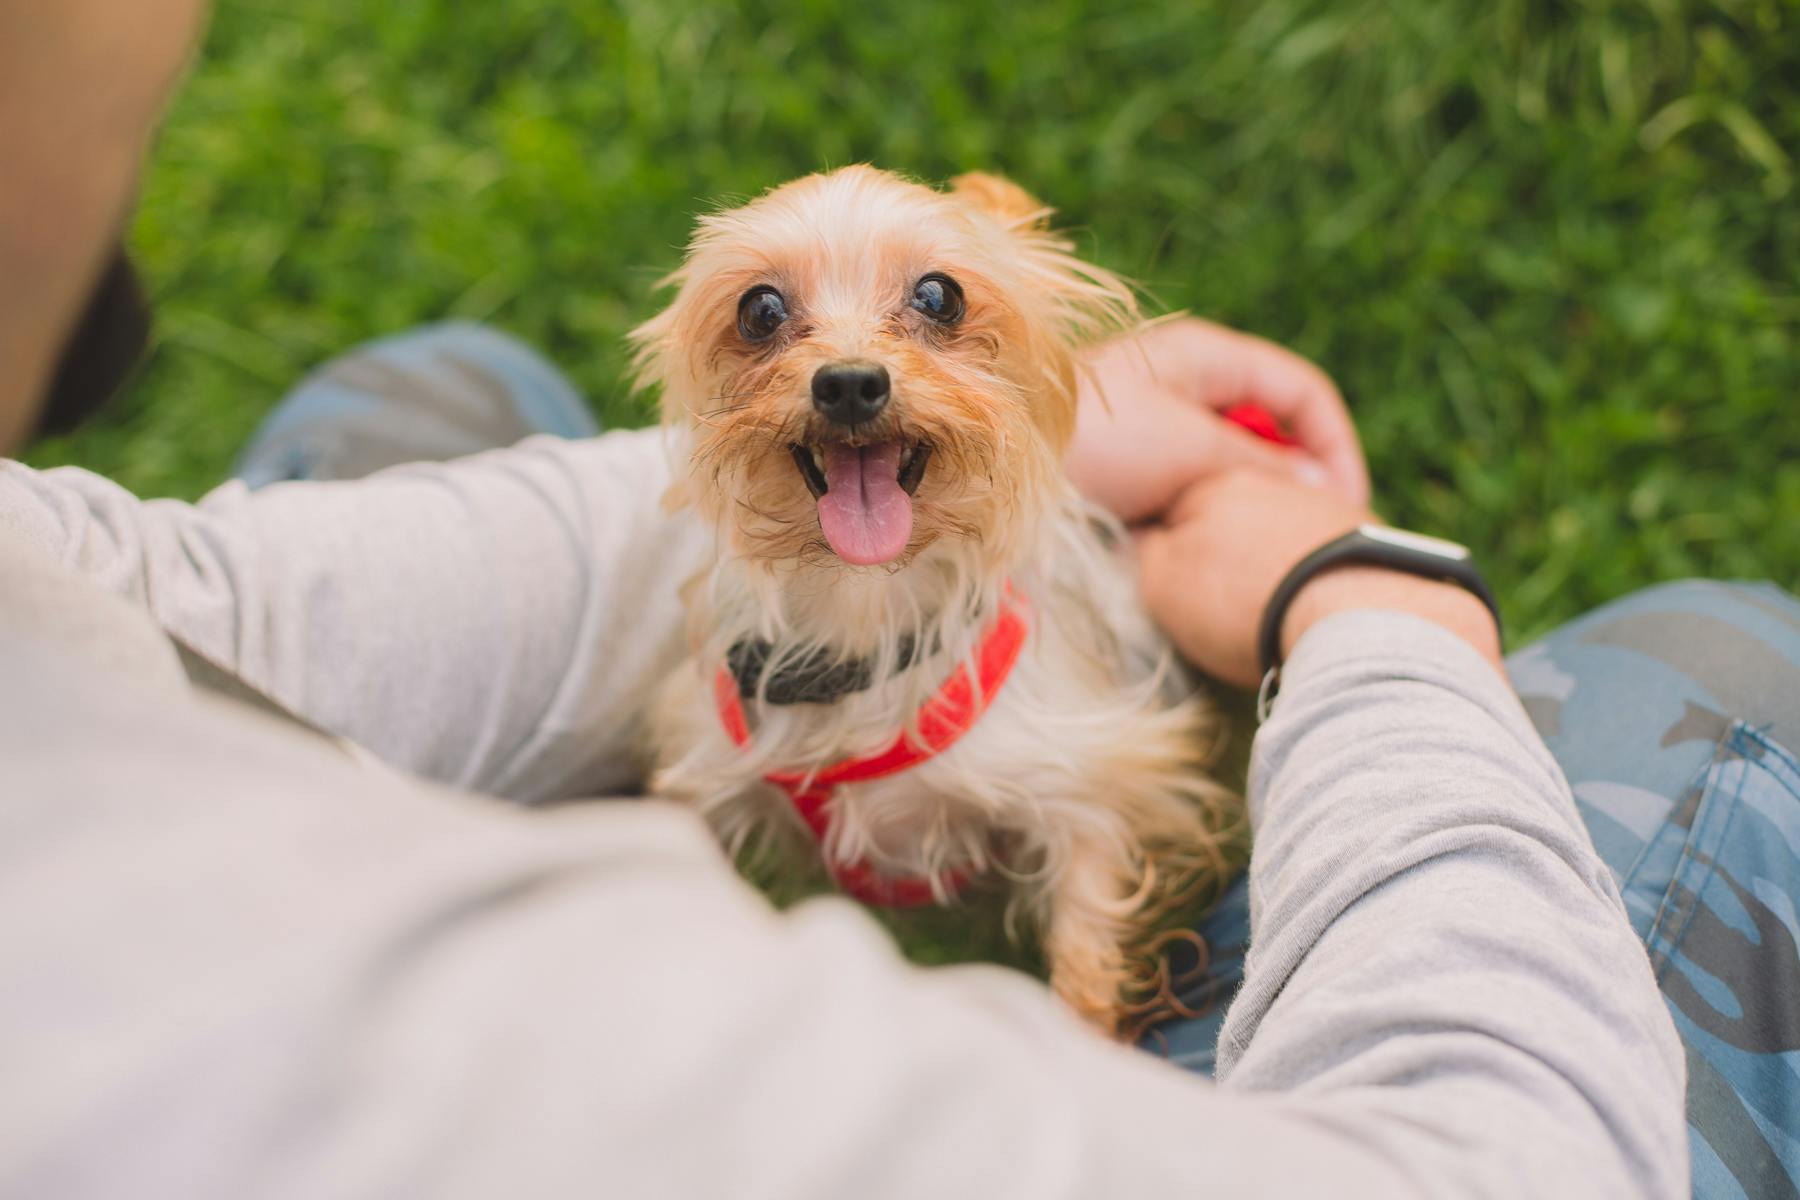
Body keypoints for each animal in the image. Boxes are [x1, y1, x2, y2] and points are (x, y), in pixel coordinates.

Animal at [633, 166, 1238, 1036]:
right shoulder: (712, 780)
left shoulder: (1091, 786)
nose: (850, 383)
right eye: (760, 310)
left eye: (937, 296)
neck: (864, 608)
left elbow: (1086, 943)